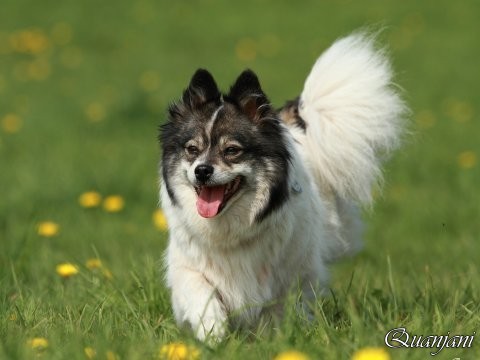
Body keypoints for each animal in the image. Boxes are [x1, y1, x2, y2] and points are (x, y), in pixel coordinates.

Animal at [159, 31, 406, 340]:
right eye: (192, 149)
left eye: (232, 151)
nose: (201, 171)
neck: (231, 228)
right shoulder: (187, 265)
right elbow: (201, 294)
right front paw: (213, 333)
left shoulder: (292, 272)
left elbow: (281, 308)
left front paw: (275, 340)